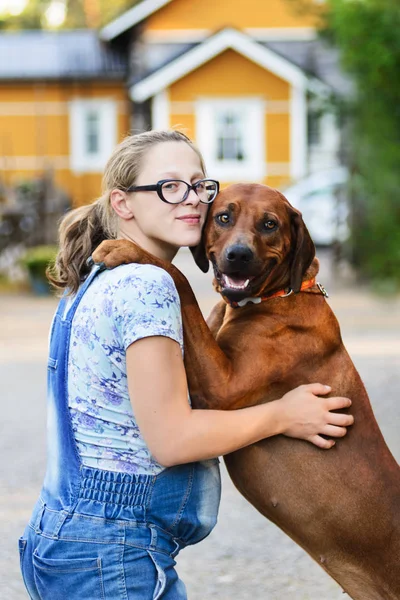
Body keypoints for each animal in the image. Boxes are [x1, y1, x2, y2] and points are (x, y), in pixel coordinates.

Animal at [93, 184, 400, 600]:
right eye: (224, 217)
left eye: (269, 224)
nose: (238, 255)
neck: (280, 296)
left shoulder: (220, 388)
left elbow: (180, 278)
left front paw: (125, 249)